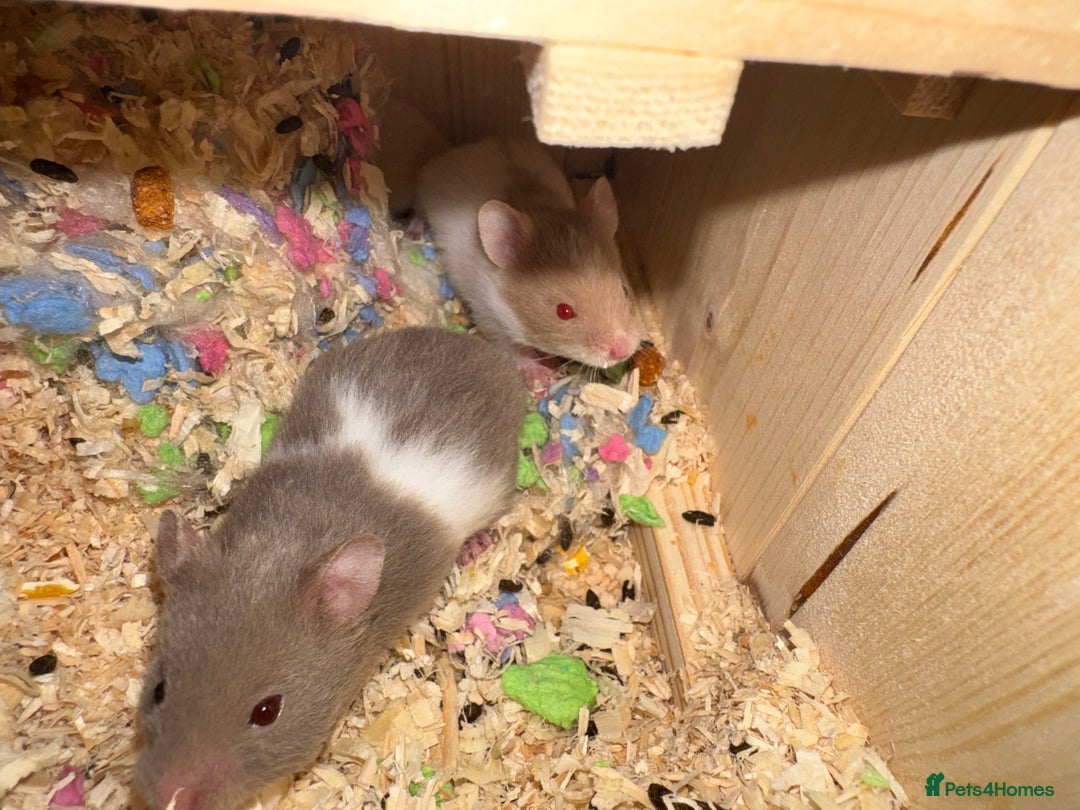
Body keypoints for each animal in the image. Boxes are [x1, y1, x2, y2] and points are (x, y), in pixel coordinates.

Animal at [416, 138, 644, 370]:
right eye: (563, 311)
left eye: (625, 290)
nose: (623, 351)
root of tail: (466, 147)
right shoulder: (486, 312)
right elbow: (514, 348)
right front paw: (542, 373)